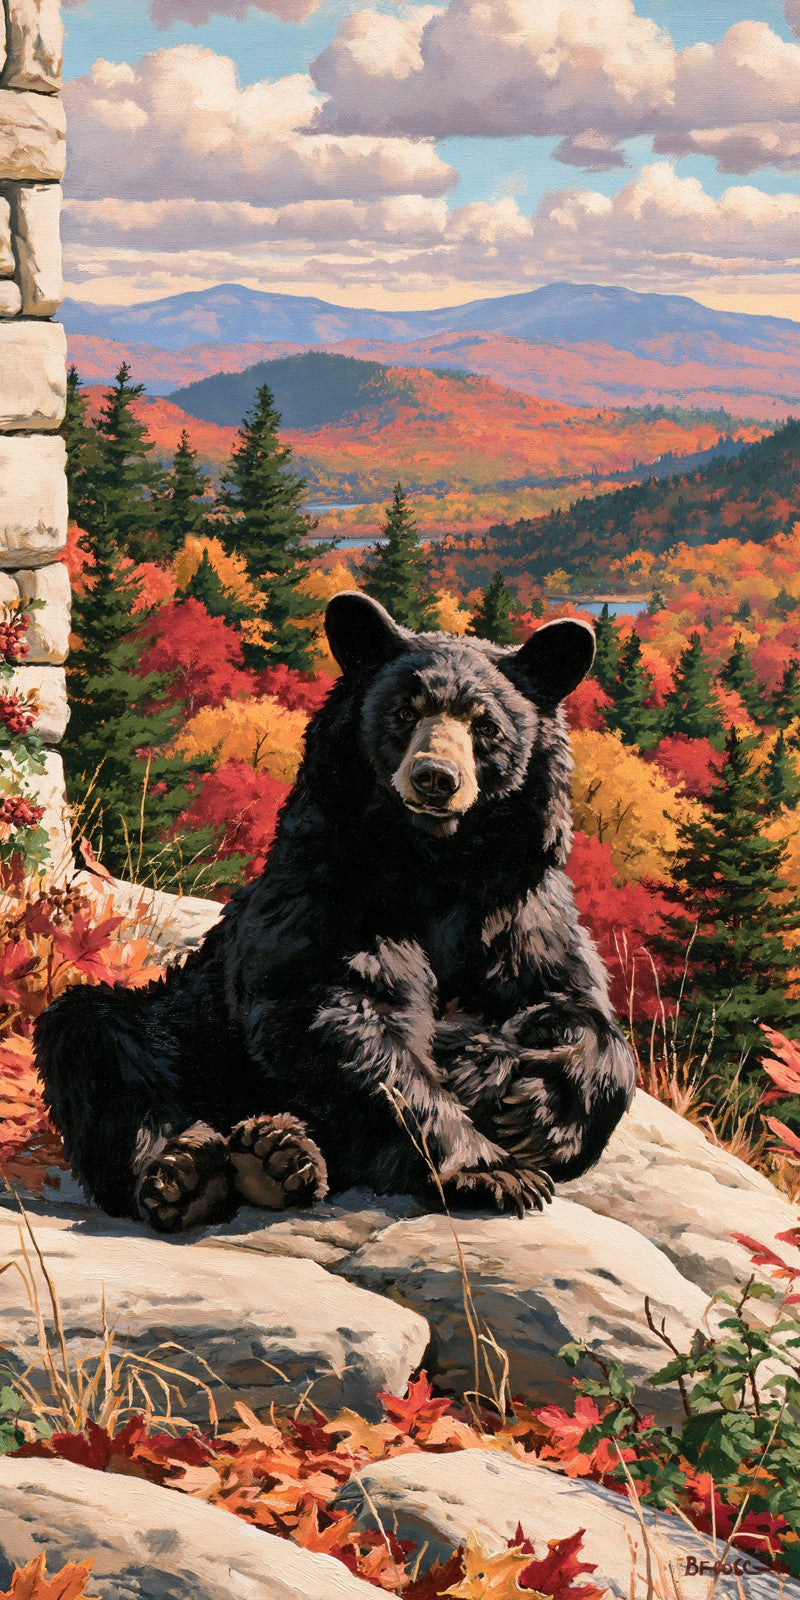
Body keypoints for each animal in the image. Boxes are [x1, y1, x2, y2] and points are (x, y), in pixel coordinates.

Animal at [35, 592, 636, 1232]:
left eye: (485, 725)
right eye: (403, 712)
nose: (436, 777)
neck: (435, 861)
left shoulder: (518, 909)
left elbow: (575, 1007)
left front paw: (538, 1109)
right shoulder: (327, 891)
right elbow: (345, 1016)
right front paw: (491, 1169)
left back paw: (277, 1155)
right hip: (183, 1027)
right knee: (97, 1039)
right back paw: (194, 1172)